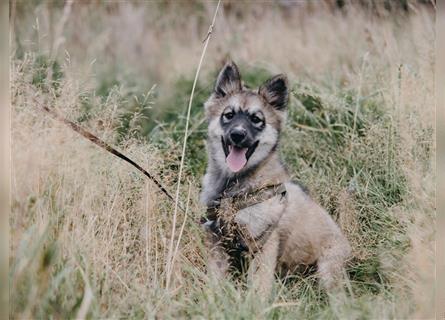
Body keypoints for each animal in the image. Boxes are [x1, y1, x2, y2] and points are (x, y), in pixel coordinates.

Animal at [200, 60, 350, 296]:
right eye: (228, 115)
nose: (237, 135)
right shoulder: (216, 241)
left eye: (256, 119)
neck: (232, 188)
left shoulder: (262, 244)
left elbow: (258, 287)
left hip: (327, 269)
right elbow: (215, 281)